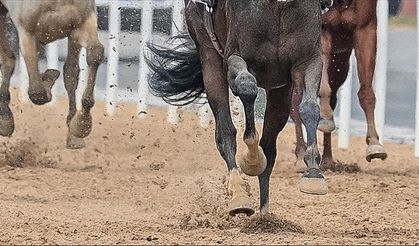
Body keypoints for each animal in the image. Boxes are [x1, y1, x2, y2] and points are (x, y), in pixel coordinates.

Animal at [0, 0, 104, 148]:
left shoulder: (82, 23)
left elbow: (95, 54)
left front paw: (81, 125)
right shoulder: (27, 32)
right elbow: (37, 93)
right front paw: (49, 78)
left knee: (70, 71)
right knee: (8, 61)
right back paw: (5, 119)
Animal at [146, 0, 334, 215]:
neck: (277, 5)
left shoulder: (308, 60)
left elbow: (309, 108)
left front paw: (313, 173)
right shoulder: (235, 58)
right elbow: (247, 88)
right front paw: (252, 160)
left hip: (280, 90)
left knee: (269, 146)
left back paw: (264, 214)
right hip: (209, 58)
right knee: (225, 132)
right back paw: (239, 195)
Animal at [292, 0, 388, 171]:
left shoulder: (365, 29)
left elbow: (366, 91)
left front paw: (374, 143)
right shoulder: (322, 30)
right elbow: (322, 89)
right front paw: (324, 118)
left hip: (340, 63)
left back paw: (327, 159)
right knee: (296, 102)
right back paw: (301, 154)